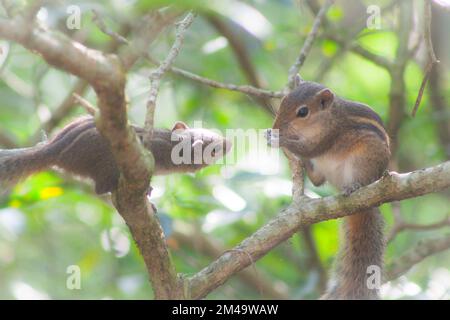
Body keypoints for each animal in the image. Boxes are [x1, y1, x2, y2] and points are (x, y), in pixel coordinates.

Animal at [268, 80, 390, 300]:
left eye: (303, 112)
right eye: (284, 100)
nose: (275, 128)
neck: (329, 116)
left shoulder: (330, 134)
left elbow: (311, 148)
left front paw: (279, 140)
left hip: (364, 161)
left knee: (361, 180)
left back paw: (354, 186)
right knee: (317, 181)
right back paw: (305, 166)